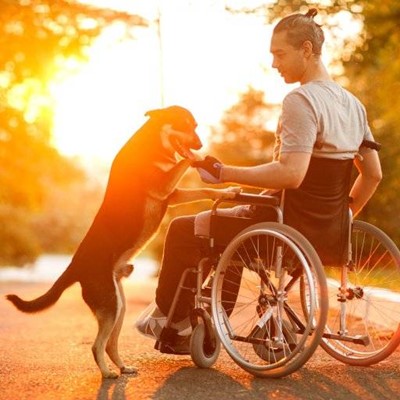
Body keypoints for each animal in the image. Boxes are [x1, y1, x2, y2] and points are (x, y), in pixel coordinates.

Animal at [6, 105, 231, 378]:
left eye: (195, 126)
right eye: (186, 125)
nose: (200, 143)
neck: (153, 144)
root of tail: (74, 266)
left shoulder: (172, 194)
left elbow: (205, 190)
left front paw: (227, 190)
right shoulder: (163, 186)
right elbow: (184, 161)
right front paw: (200, 159)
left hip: (118, 307)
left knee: (110, 344)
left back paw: (123, 367)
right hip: (111, 306)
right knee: (97, 345)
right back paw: (107, 373)